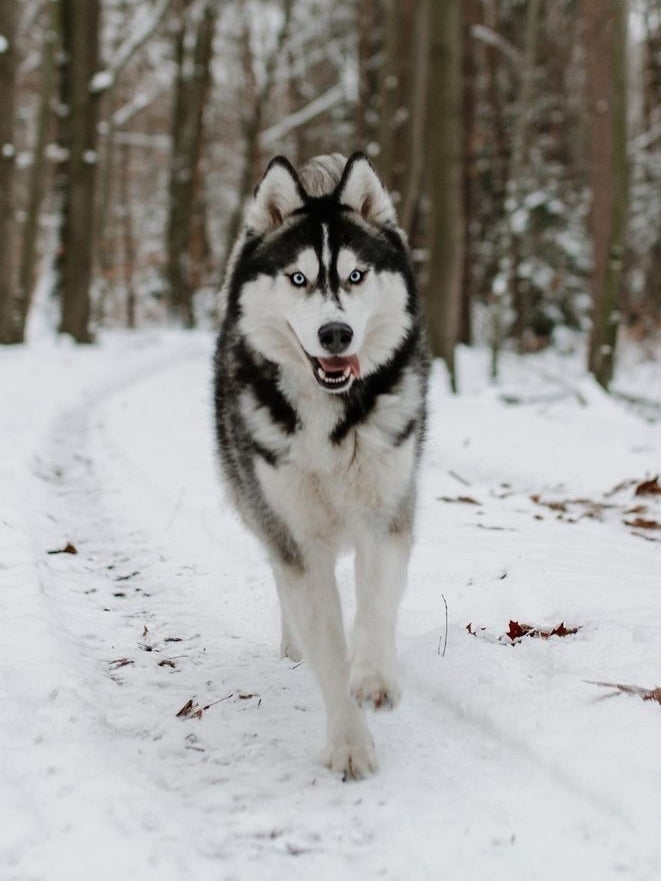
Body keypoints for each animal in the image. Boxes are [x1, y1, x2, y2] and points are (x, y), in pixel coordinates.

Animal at [214, 151, 430, 776]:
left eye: (356, 276)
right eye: (298, 278)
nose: (336, 333)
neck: (329, 420)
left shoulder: (387, 513)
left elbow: (376, 602)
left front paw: (374, 675)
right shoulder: (296, 537)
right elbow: (327, 647)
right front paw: (349, 744)